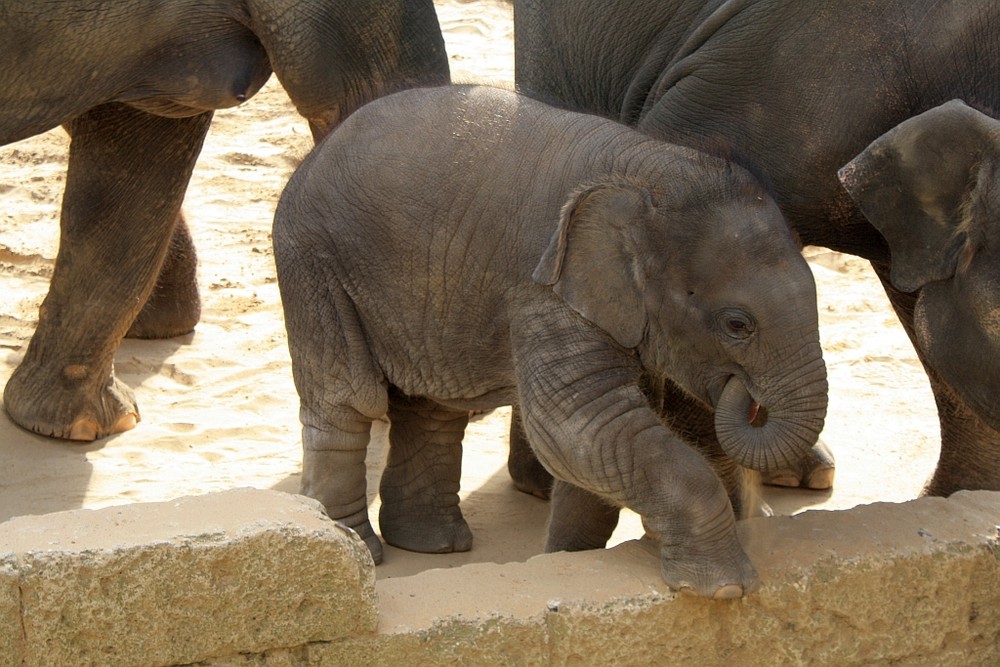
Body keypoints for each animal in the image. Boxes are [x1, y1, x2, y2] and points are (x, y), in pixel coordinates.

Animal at [274, 85, 828, 600]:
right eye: (737, 324)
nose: (743, 390)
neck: (650, 170)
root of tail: (315, 155)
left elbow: (600, 436)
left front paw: (568, 560)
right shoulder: (544, 289)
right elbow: (578, 424)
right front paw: (725, 589)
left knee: (433, 406)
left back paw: (435, 545)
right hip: (313, 263)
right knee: (349, 400)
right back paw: (359, 548)